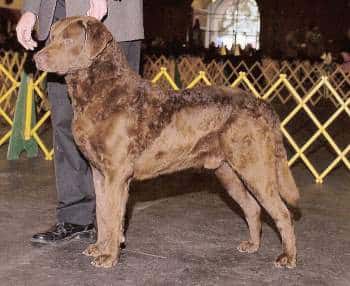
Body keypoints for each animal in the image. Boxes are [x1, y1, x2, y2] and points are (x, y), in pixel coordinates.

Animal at [34, 17, 300, 268]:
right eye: (52, 37)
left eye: (68, 40)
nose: (37, 58)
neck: (102, 92)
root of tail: (261, 103)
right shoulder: (99, 173)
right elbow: (102, 213)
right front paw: (100, 248)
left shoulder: (116, 174)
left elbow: (112, 214)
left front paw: (108, 256)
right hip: (227, 172)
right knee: (253, 207)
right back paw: (252, 245)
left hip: (255, 168)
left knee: (282, 212)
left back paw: (287, 257)